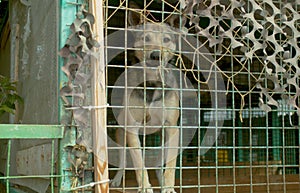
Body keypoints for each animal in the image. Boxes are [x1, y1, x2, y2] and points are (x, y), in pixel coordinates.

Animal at [110, 2, 180, 192]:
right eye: (145, 38)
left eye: (166, 39)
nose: (156, 55)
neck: (152, 83)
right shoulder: (132, 128)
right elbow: (139, 162)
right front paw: (145, 187)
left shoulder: (172, 128)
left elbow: (171, 165)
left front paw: (168, 187)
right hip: (120, 133)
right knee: (122, 160)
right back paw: (116, 180)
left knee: (159, 164)